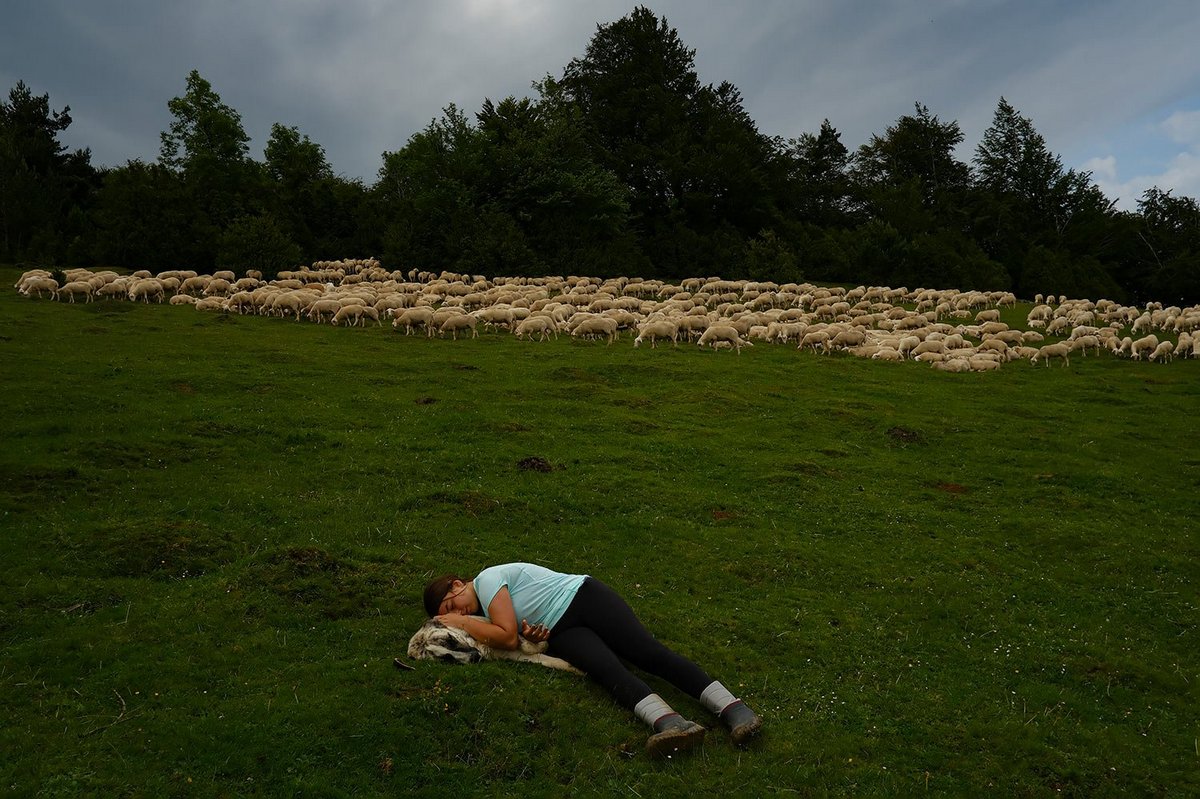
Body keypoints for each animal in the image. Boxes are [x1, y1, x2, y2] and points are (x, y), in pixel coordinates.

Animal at [408, 619, 580, 667]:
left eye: (450, 639)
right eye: (447, 658)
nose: (475, 657)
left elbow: (526, 643)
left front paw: (542, 642)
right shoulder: (511, 654)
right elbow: (548, 660)